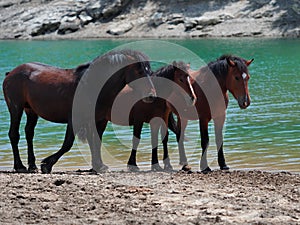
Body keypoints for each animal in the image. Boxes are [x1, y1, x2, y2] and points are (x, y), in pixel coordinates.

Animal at [2, 48, 155, 172]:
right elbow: (68, 143)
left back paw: (32, 166)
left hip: (31, 111)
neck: (92, 85)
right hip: (16, 108)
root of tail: (11, 73)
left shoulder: (98, 120)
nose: (151, 96)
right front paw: (47, 164)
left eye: (150, 71)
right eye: (139, 71)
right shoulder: (74, 119)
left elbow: (95, 142)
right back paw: (20, 166)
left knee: (29, 133)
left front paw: (98, 165)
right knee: (14, 134)